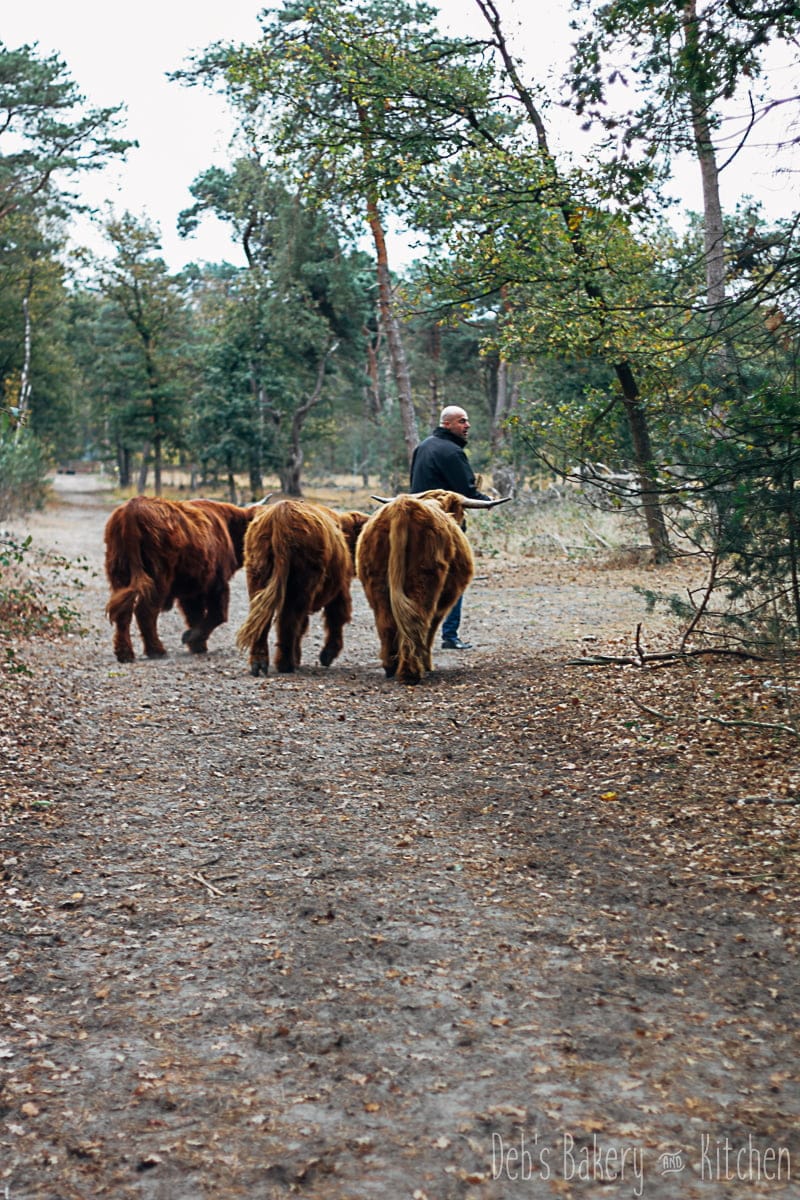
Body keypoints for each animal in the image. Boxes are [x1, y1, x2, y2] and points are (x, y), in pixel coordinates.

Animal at [104, 495, 266, 663]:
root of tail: (132, 508)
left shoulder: (192, 589)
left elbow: (195, 614)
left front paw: (197, 645)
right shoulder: (217, 582)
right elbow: (218, 614)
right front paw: (191, 638)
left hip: (119, 575)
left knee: (124, 611)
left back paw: (125, 653)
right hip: (159, 578)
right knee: (146, 611)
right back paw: (156, 650)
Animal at [236, 499, 370, 676]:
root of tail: (281, 512)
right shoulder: (341, 587)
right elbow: (336, 616)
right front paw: (327, 655)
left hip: (257, 575)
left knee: (262, 619)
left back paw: (259, 663)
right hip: (301, 583)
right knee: (289, 619)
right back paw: (286, 664)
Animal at [356, 489, 510, 684]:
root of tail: (404, 506)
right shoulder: (445, 600)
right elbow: (432, 627)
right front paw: (428, 664)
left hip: (376, 585)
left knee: (386, 622)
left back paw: (391, 667)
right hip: (425, 581)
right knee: (419, 620)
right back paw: (413, 671)